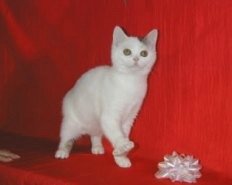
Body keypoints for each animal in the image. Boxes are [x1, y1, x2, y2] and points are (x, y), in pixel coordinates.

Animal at [55, 25, 159, 168]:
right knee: (65, 136)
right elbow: (116, 132)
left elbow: (123, 131)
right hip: (71, 122)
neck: (131, 82)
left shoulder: (129, 117)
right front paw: (123, 145)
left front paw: (121, 157)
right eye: (127, 52)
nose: (136, 59)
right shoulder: (109, 116)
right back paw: (62, 151)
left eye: (144, 53)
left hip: (95, 124)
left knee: (95, 134)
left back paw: (97, 147)